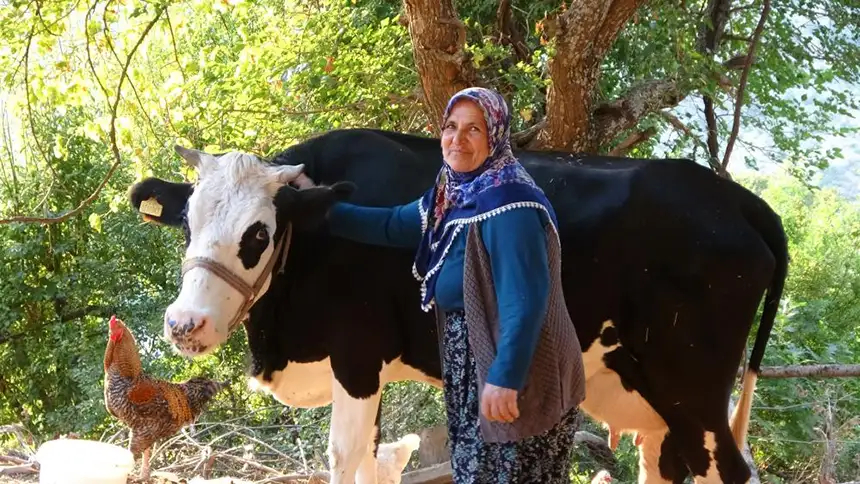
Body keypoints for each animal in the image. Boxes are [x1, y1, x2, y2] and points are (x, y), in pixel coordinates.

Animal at [127, 127, 788, 484]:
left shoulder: (357, 358)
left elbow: (346, 458)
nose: (183, 325)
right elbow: (375, 461)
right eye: (186, 223)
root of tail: (735, 196)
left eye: (258, 234)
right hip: (660, 403)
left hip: (694, 391)